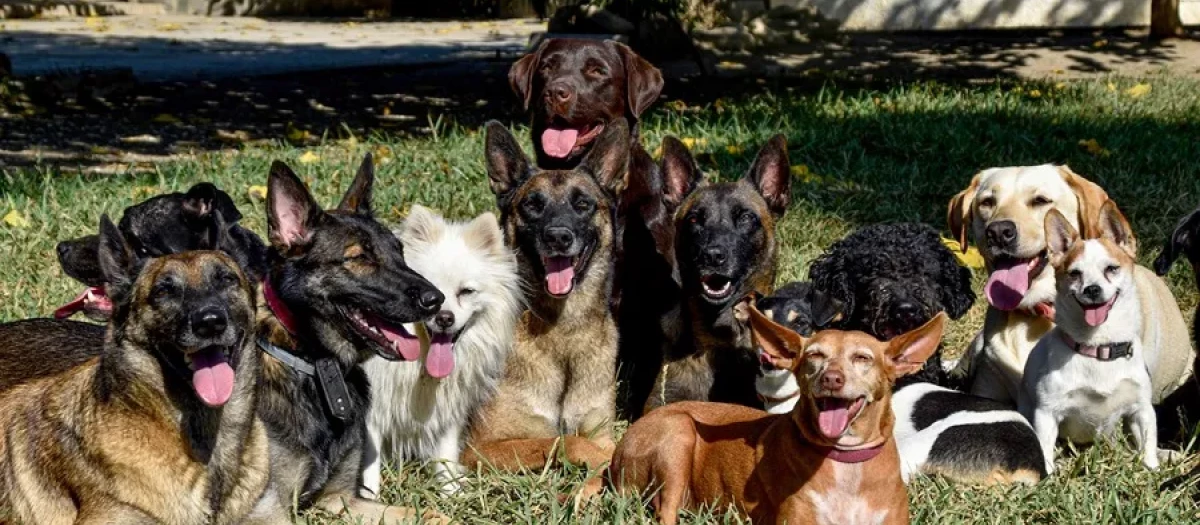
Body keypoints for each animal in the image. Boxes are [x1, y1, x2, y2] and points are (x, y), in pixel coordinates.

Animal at [609, 294, 945, 525]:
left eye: (862, 358)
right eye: (814, 356)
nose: (831, 378)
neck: (847, 464)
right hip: (678, 433)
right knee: (665, 511)